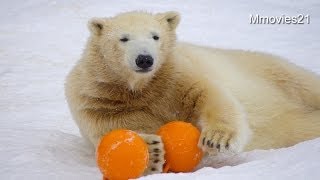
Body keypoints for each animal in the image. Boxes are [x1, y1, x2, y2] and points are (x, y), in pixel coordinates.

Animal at [65, 11, 320, 174]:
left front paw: (217, 139)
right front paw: (152, 151)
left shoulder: (176, 77)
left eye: (155, 36)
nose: (145, 59)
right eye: (123, 38)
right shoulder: (97, 99)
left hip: (272, 71)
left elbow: (208, 94)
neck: (141, 88)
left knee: (304, 84)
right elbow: (108, 130)